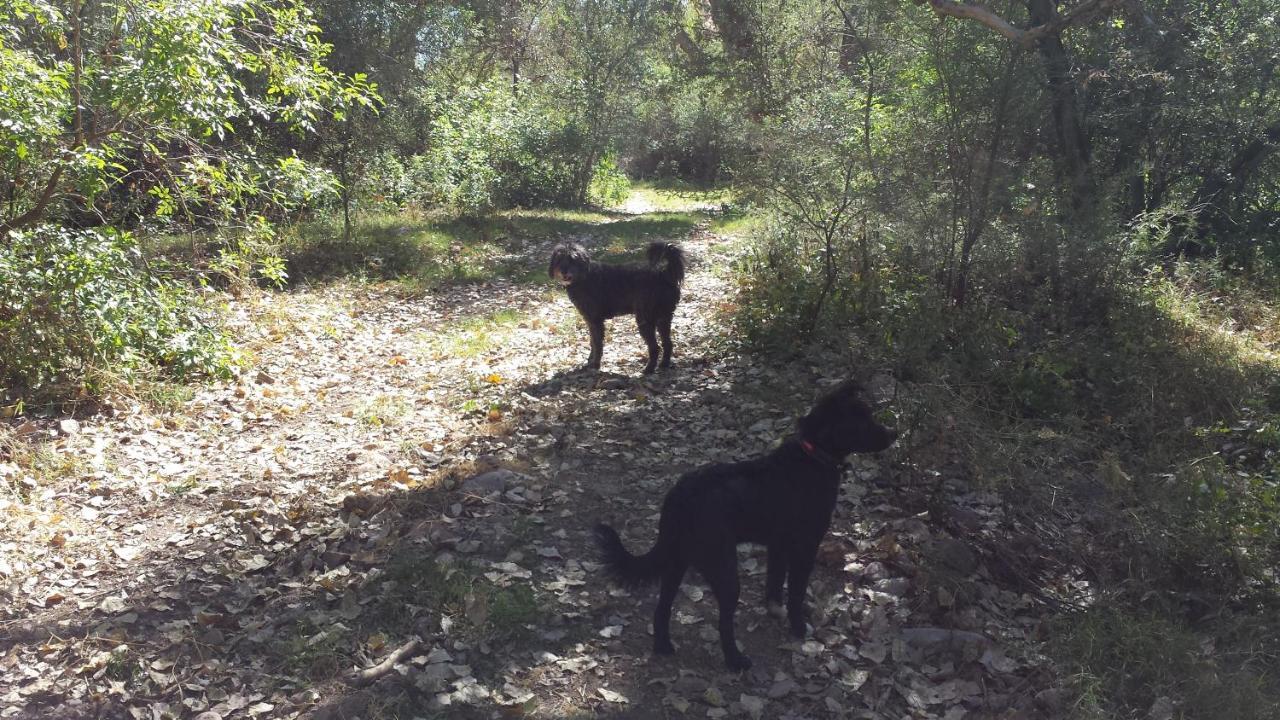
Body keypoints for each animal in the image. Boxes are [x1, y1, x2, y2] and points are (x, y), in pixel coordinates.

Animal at [552, 242, 691, 371]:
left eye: (573, 259)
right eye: (559, 259)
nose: (563, 271)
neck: (584, 276)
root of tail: (664, 274)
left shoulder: (596, 321)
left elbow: (597, 344)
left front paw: (595, 364)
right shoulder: (590, 321)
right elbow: (592, 342)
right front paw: (590, 361)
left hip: (645, 319)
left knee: (655, 347)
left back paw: (649, 369)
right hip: (663, 318)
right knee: (668, 343)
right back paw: (664, 364)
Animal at [593, 381, 896, 666]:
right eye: (861, 420)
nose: (894, 434)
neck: (813, 455)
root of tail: (680, 496)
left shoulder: (778, 546)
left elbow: (774, 583)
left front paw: (775, 611)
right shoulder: (805, 546)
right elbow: (796, 593)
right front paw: (798, 627)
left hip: (677, 561)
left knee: (662, 607)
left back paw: (664, 646)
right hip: (723, 568)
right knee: (723, 622)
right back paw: (736, 661)